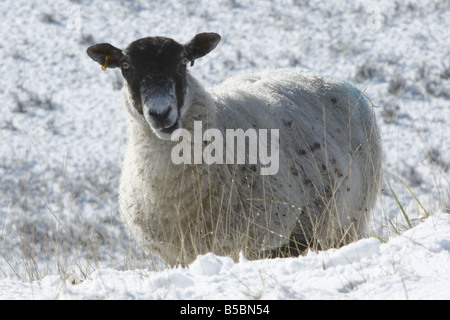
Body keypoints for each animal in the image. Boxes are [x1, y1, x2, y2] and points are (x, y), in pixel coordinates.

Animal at [86, 33, 382, 268]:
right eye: (126, 66)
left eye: (183, 62)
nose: (160, 113)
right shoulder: (179, 255)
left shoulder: (268, 240)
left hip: (348, 221)